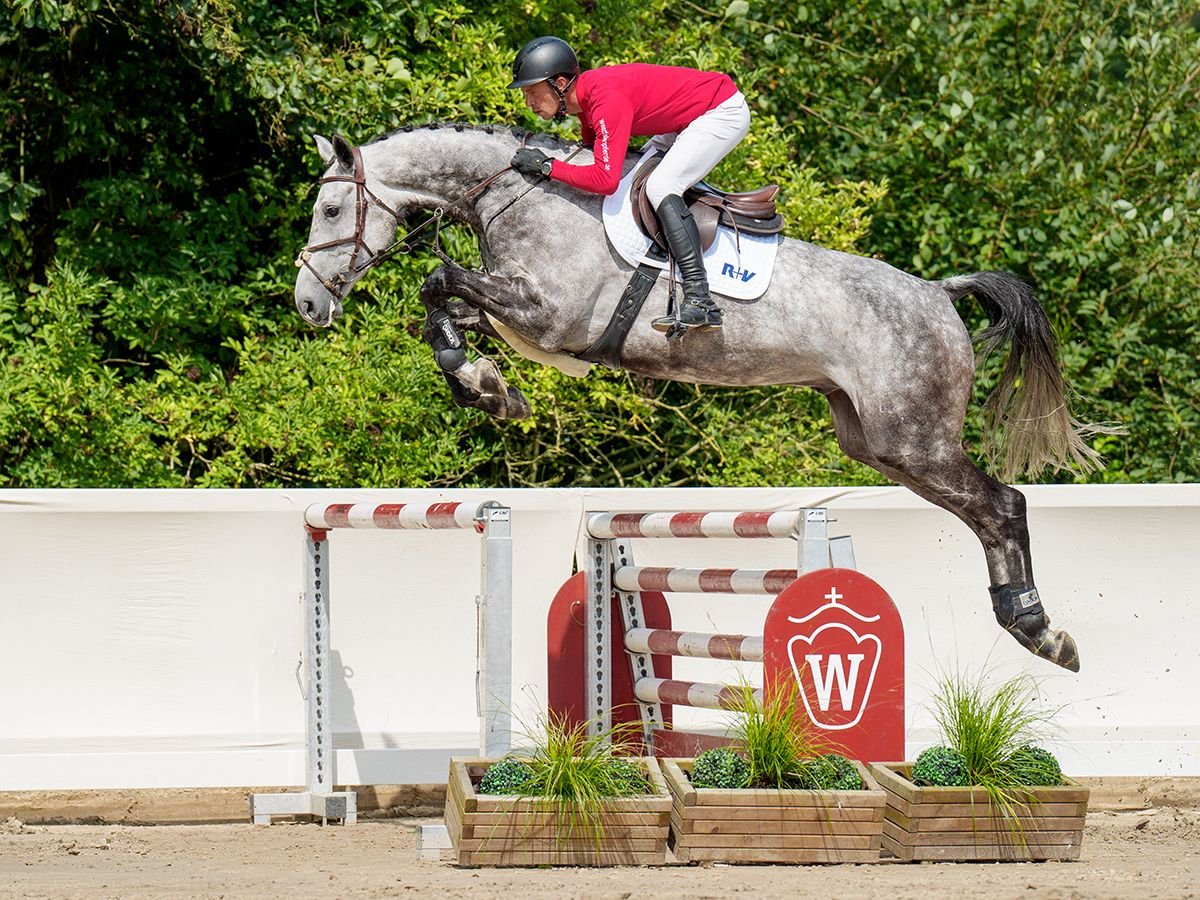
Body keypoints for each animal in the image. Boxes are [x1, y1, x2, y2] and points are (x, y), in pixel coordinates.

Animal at [292, 125, 1104, 672]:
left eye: (329, 214)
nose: (307, 305)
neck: (512, 196)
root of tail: (938, 293)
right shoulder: (518, 315)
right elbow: (444, 308)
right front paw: (487, 387)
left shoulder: (548, 315)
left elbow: (438, 282)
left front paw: (486, 386)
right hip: (879, 443)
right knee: (983, 512)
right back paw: (1031, 626)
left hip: (916, 439)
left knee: (1003, 505)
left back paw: (1043, 631)